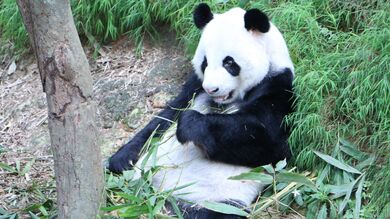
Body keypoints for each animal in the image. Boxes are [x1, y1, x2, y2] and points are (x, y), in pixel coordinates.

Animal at [108, 3, 294, 219]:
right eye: (205, 62)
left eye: (229, 62)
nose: (211, 89)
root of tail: (158, 196)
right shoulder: (194, 86)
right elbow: (164, 119)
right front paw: (122, 158)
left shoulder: (278, 86)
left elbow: (271, 143)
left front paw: (190, 124)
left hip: (215, 199)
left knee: (220, 212)